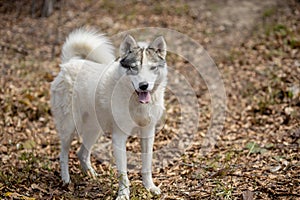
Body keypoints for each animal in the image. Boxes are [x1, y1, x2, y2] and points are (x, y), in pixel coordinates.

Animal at [51, 28, 169, 200]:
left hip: (94, 131)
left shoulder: (148, 134)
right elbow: (123, 174)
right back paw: (66, 180)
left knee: (82, 153)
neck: (135, 101)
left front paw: (150, 188)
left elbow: (147, 165)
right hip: (69, 129)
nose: (144, 85)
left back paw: (91, 175)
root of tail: (68, 64)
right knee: (63, 154)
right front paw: (123, 195)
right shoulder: (119, 137)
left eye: (152, 68)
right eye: (134, 68)